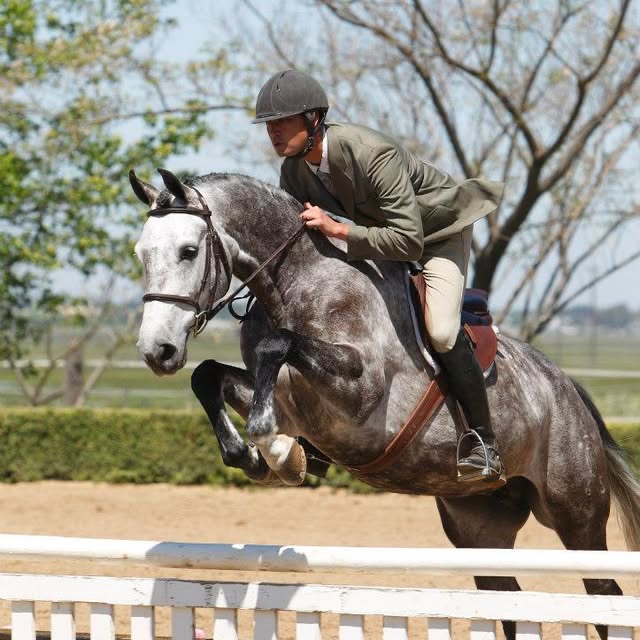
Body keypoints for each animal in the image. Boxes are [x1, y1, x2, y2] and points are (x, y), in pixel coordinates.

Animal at [131, 168, 640, 640]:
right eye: (141, 253)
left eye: (188, 251)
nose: (157, 351)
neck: (299, 281)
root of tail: (567, 387)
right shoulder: (293, 401)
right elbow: (208, 375)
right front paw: (264, 456)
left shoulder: (360, 394)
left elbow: (276, 347)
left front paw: (275, 448)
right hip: (479, 525)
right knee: (507, 600)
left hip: (575, 513)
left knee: (603, 596)